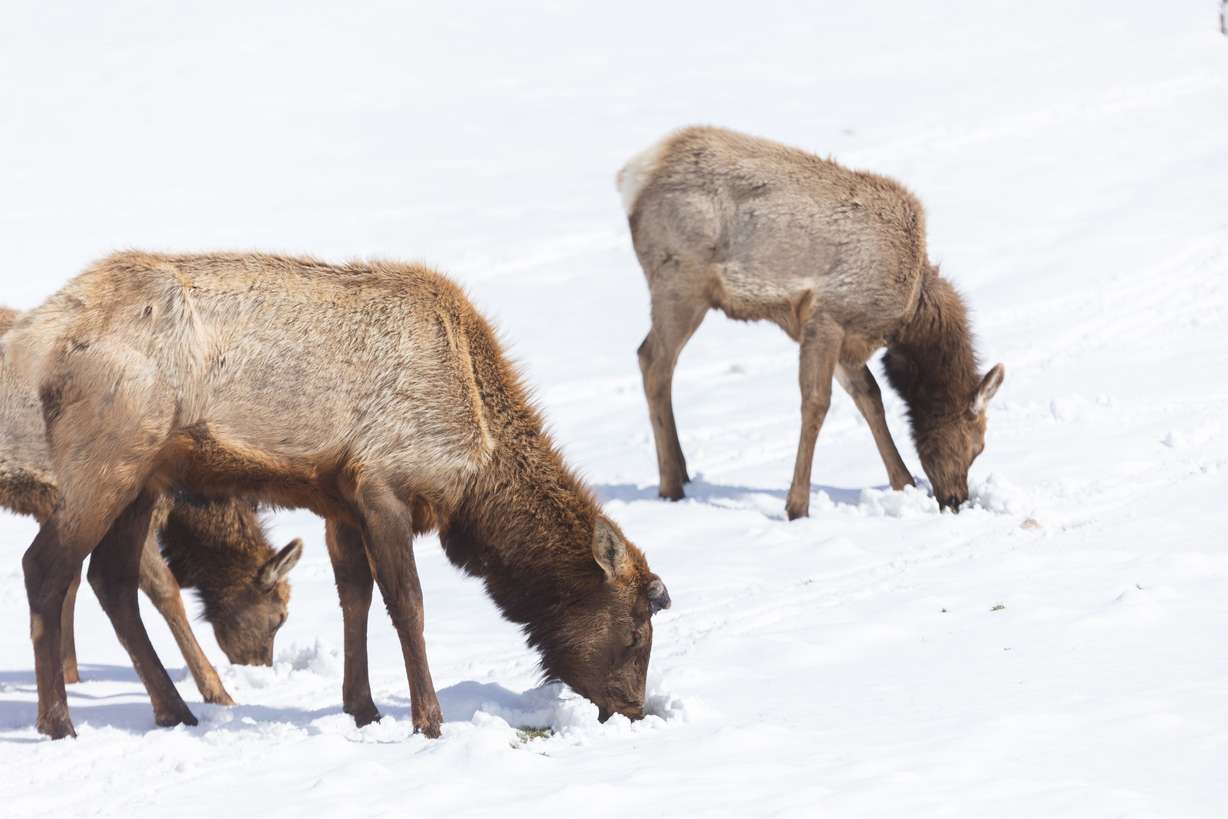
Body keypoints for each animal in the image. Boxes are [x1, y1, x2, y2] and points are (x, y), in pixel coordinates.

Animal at [0, 308, 302, 705]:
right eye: (280, 616)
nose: (260, 667)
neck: (181, 505)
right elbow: (166, 593)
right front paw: (216, 691)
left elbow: (70, 583)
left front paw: (71, 675)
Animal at [617, 126, 1005, 519]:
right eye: (977, 445)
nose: (956, 499)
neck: (908, 315)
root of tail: (634, 176)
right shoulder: (827, 316)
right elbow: (817, 403)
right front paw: (797, 506)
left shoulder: (848, 338)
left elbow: (870, 397)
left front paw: (905, 482)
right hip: (680, 283)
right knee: (653, 360)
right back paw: (671, 485)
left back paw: (682, 471)